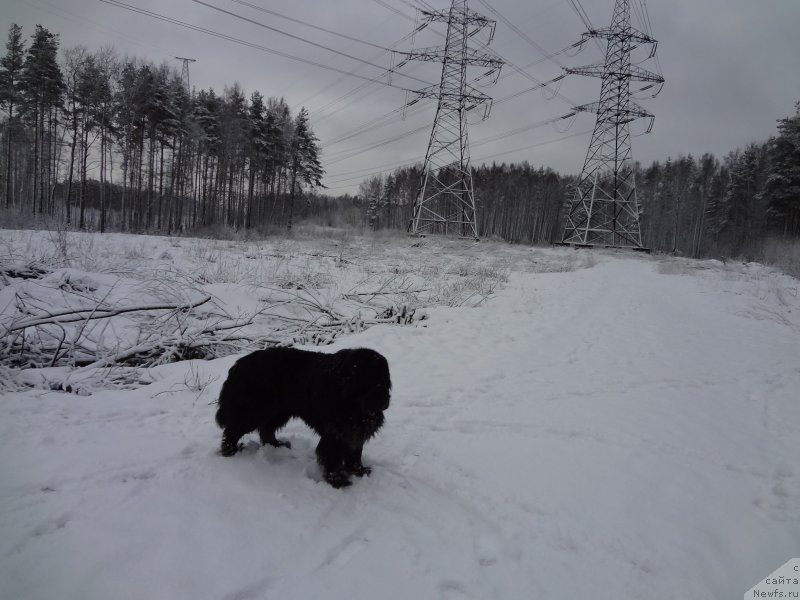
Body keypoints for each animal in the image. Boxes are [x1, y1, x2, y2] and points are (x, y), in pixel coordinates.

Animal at [216, 346, 390, 488]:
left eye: (384, 381)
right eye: (371, 382)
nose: (385, 400)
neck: (352, 404)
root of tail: (239, 364)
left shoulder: (355, 431)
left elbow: (355, 452)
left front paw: (359, 470)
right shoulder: (335, 433)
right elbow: (332, 456)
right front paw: (338, 480)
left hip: (279, 411)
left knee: (266, 429)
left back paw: (276, 445)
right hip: (254, 411)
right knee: (233, 430)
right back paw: (230, 450)